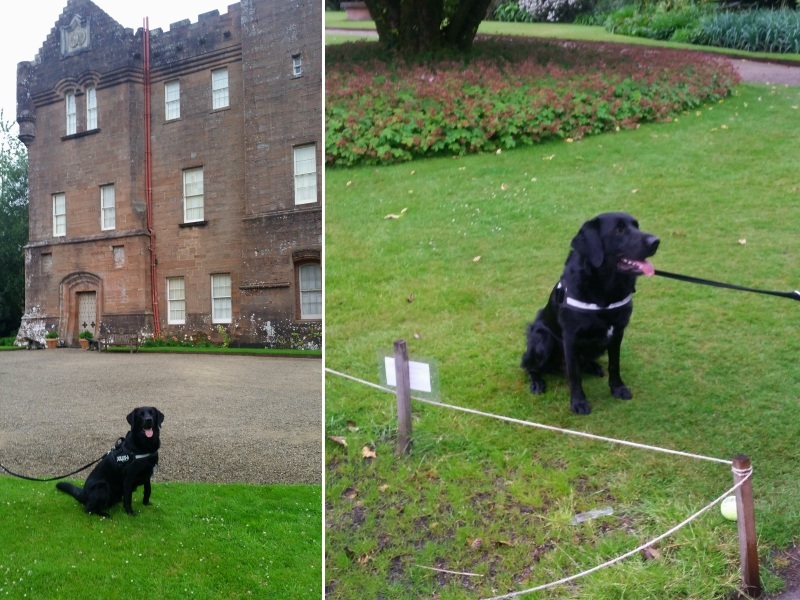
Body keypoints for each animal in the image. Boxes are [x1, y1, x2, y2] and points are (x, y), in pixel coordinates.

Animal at [520, 213, 660, 414]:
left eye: (636, 226)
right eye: (619, 229)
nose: (656, 241)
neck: (605, 290)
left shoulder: (617, 332)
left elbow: (614, 364)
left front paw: (618, 389)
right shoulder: (570, 338)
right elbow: (574, 375)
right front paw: (578, 402)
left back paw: (593, 367)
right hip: (542, 340)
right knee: (528, 365)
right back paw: (537, 382)